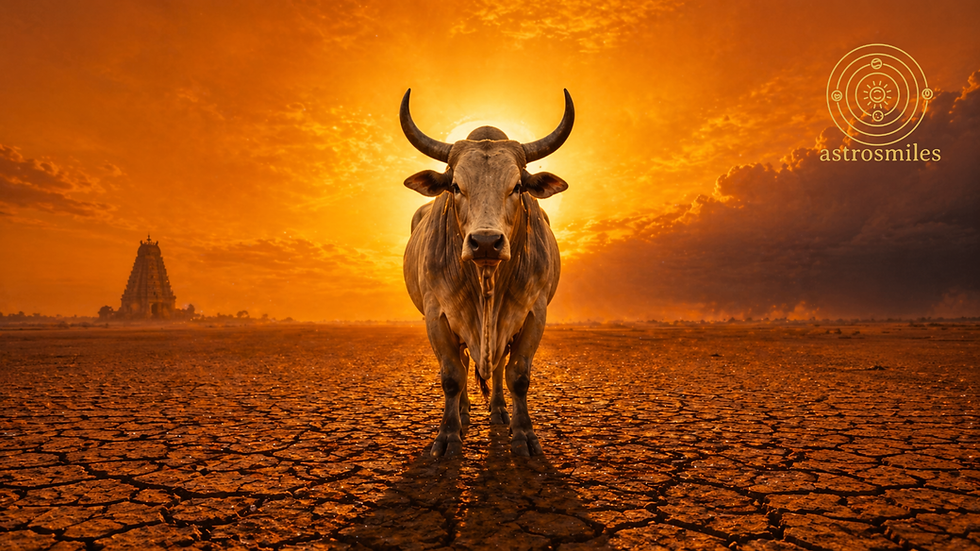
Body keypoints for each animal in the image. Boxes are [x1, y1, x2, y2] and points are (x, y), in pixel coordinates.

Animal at [400, 89, 573, 457]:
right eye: (455, 186)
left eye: (518, 186)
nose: (485, 243)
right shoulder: (437, 313)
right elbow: (452, 376)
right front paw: (448, 436)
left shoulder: (533, 312)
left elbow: (517, 375)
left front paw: (524, 435)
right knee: (466, 367)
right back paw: (465, 414)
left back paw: (498, 411)